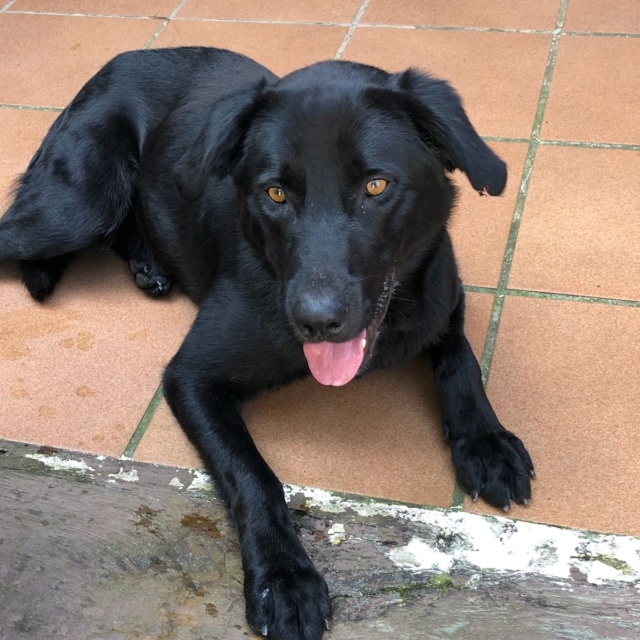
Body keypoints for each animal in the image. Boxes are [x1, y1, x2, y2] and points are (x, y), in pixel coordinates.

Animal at [0, 47, 532, 636]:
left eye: (376, 186)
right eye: (274, 193)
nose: (315, 321)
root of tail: (119, 61)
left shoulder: (443, 299)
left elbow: (461, 362)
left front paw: (486, 441)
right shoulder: (191, 376)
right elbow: (254, 475)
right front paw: (284, 578)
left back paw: (148, 263)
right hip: (77, 208)